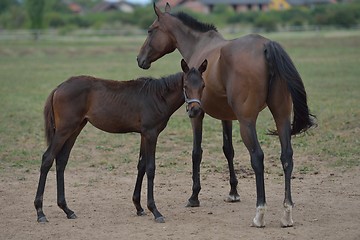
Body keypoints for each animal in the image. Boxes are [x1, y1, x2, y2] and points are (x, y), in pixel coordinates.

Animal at [34, 59, 208, 224]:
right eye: (185, 86)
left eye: (203, 86)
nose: (195, 111)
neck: (157, 96)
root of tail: (59, 87)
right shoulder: (151, 134)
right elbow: (151, 168)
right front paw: (155, 211)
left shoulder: (144, 135)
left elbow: (141, 166)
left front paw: (139, 207)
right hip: (64, 129)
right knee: (47, 158)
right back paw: (40, 212)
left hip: (75, 129)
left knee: (61, 160)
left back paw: (67, 209)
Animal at [136, 3, 316, 228]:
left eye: (150, 30)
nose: (140, 59)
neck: (200, 45)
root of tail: (266, 45)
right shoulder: (227, 117)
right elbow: (228, 150)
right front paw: (233, 192)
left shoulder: (197, 114)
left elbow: (197, 152)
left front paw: (194, 197)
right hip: (281, 117)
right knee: (287, 157)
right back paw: (287, 213)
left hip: (247, 123)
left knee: (258, 157)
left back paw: (260, 213)